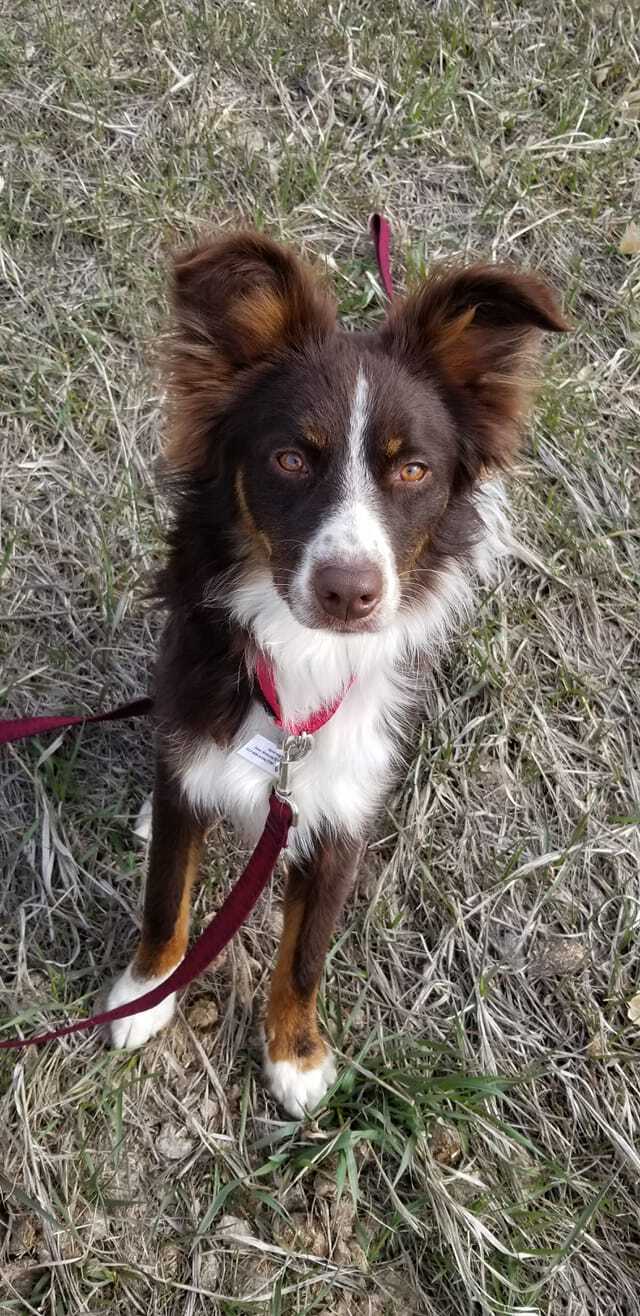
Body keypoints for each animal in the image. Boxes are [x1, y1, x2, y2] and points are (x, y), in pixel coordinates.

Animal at [104, 231, 566, 1115]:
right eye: (290, 458)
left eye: (413, 471)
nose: (349, 593)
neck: (300, 660)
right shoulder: (196, 735)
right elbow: (164, 895)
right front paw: (144, 995)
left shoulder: (342, 804)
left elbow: (307, 950)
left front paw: (295, 1056)